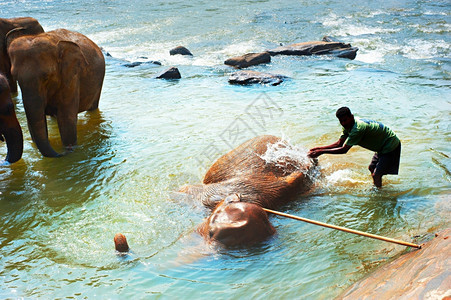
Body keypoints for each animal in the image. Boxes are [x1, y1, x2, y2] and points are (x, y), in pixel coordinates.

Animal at [6, 27, 105, 157]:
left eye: (46, 77)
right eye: (16, 78)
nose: (63, 152)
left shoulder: (71, 77)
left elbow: (66, 118)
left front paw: (70, 149)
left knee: (93, 108)